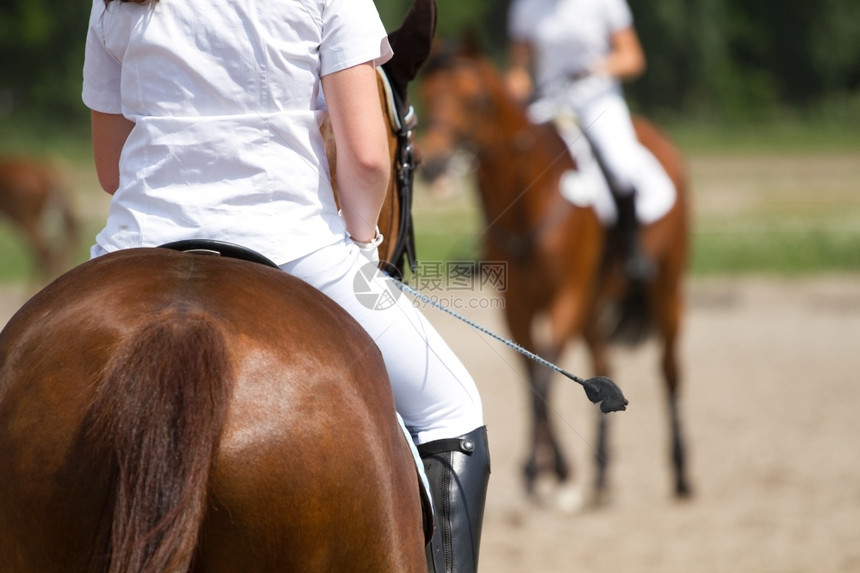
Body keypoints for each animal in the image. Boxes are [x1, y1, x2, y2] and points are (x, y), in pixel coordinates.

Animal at [416, 41, 692, 504]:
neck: (529, 197)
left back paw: (682, 474)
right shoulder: (517, 305)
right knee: (605, 360)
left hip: (664, 289)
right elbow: (533, 374)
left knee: (670, 370)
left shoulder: (567, 296)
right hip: (594, 304)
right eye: (426, 92)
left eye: (476, 99)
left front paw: (536, 469)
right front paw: (557, 470)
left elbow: (546, 375)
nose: (432, 165)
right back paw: (601, 473)